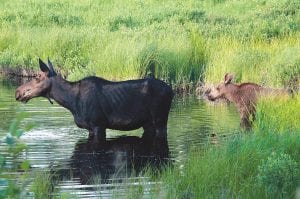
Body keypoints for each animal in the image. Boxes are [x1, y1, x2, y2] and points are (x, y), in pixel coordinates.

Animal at [15, 58, 173, 155]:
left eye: (37, 77)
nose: (18, 92)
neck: (71, 103)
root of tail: (171, 91)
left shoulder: (99, 125)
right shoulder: (90, 128)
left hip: (160, 119)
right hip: (148, 123)